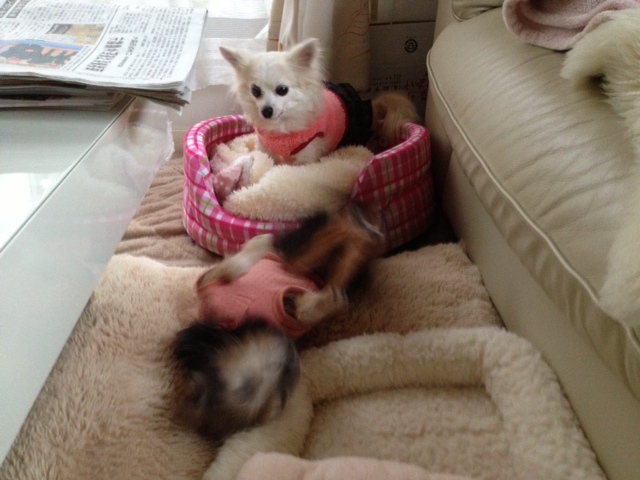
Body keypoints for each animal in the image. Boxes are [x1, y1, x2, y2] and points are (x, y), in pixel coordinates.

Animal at [173, 205, 384, 444]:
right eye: (279, 397)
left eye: (247, 386)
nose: (293, 363)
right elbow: (306, 310)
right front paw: (325, 302)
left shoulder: (211, 286)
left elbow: (231, 268)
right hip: (304, 263)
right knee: (341, 253)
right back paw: (362, 229)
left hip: (293, 259)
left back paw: (359, 223)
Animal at [219, 38, 419, 166]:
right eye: (255, 91)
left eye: (282, 90)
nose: (266, 111)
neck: (282, 127)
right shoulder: (266, 150)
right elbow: (267, 164)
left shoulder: (306, 155)